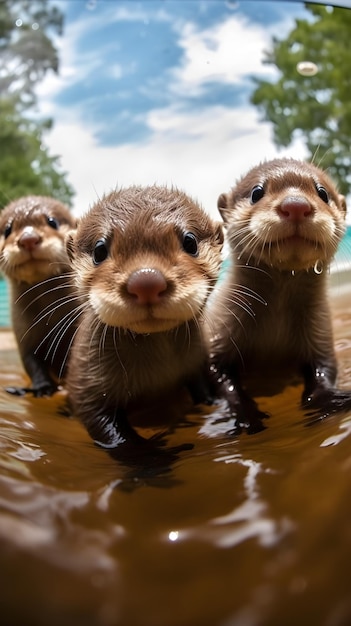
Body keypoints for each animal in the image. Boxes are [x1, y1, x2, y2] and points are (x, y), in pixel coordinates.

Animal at [0, 195, 77, 394]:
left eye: (52, 221)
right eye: (8, 229)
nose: (28, 239)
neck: (49, 319)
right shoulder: (23, 335)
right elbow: (31, 363)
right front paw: (42, 388)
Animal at [65, 185, 224, 454]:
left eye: (190, 241)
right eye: (99, 250)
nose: (146, 281)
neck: (156, 376)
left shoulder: (198, 364)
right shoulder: (85, 385)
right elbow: (110, 432)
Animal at [209, 156, 351, 432]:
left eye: (322, 192)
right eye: (257, 192)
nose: (296, 205)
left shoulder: (321, 336)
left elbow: (326, 370)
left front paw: (330, 399)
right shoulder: (216, 335)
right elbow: (219, 376)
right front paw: (247, 415)